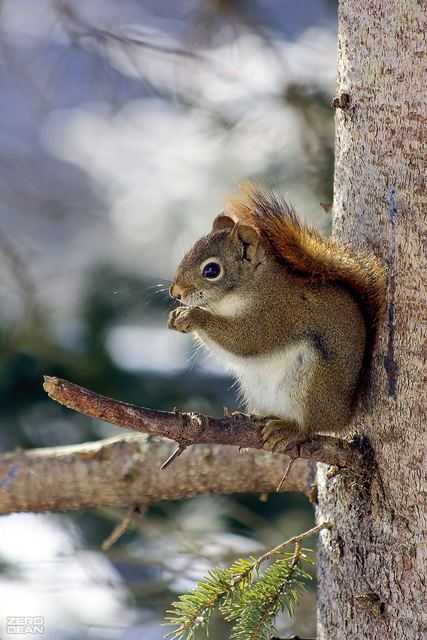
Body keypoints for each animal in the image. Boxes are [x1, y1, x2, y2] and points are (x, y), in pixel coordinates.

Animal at [168, 184, 386, 450]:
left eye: (211, 270)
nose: (175, 292)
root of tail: (344, 414)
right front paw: (177, 315)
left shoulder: (274, 315)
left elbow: (245, 342)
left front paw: (193, 316)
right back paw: (254, 417)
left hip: (314, 384)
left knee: (311, 426)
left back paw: (290, 429)